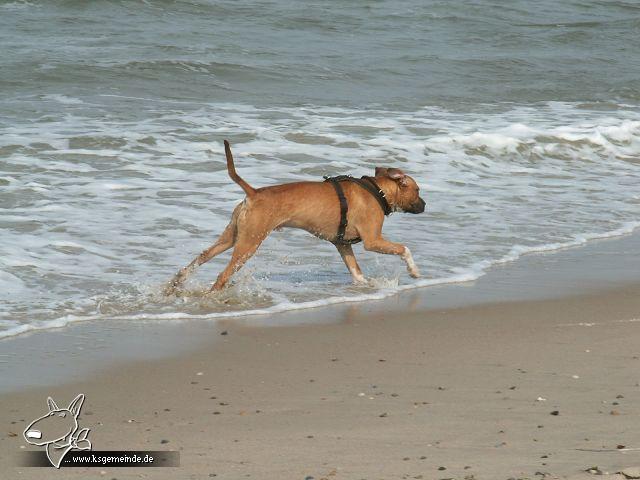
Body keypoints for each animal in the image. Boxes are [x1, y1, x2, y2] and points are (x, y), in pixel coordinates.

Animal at [165, 139, 424, 292]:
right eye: (418, 190)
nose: (425, 206)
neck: (377, 191)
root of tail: (254, 193)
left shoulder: (343, 245)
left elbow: (356, 272)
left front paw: (365, 285)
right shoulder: (373, 241)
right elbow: (404, 249)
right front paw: (414, 270)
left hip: (231, 237)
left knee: (199, 259)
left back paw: (176, 283)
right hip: (249, 243)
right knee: (222, 275)